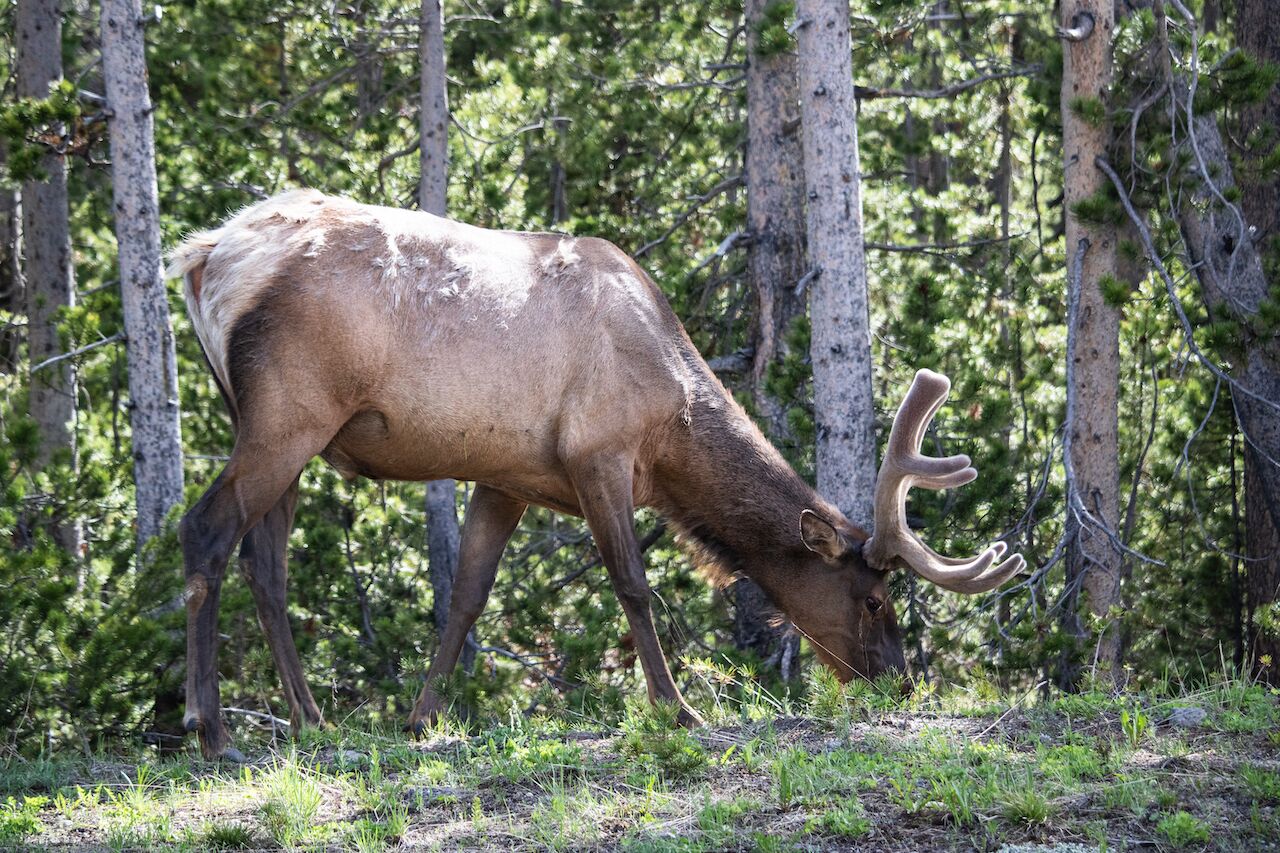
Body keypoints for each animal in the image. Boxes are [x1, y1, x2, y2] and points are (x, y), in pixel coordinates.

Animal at [167, 189, 1025, 760]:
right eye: (874, 598)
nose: (900, 682)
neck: (671, 422)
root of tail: (206, 256)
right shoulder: (598, 452)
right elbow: (633, 584)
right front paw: (677, 708)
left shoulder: (506, 475)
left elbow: (466, 598)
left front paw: (421, 716)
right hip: (289, 411)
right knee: (207, 529)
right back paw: (211, 728)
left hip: (275, 424)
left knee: (265, 561)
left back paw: (310, 718)